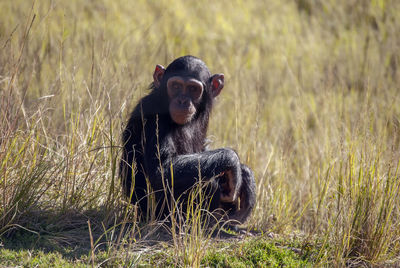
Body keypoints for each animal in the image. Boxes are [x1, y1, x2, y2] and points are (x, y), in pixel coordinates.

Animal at [119, 55, 256, 225]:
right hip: (157, 211)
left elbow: (203, 149)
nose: (183, 101)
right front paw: (233, 162)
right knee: (206, 182)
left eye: (193, 89)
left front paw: (246, 176)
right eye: (176, 86)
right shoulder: (154, 116)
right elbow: (161, 170)